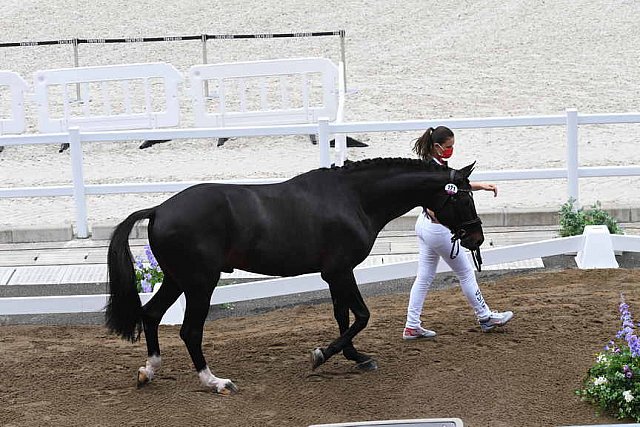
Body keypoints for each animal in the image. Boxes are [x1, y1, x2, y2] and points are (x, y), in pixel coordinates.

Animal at [106, 157, 484, 394]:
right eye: (464, 200)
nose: (476, 238)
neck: (353, 198)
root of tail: (159, 209)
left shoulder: (333, 274)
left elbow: (343, 316)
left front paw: (355, 357)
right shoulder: (340, 271)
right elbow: (361, 315)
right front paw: (321, 355)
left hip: (176, 280)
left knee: (151, 314)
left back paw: (149, 371)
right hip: (200, 284)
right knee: (189, 331)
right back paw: (215, 382)